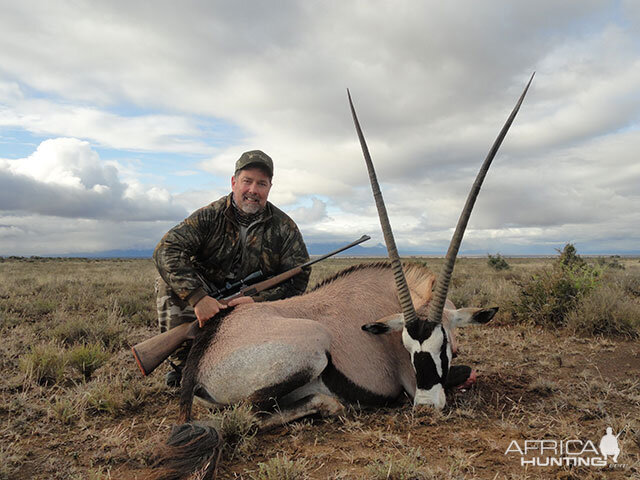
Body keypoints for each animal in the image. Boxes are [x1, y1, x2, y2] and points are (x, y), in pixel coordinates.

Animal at [151, 76, 536, 480]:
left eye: (442, 343)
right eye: (409, 349)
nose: (426, 406)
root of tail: (205, 348)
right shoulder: (405, 380)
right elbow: (465, 372)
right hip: (312, 344)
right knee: (250, 413)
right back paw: (329, 404)